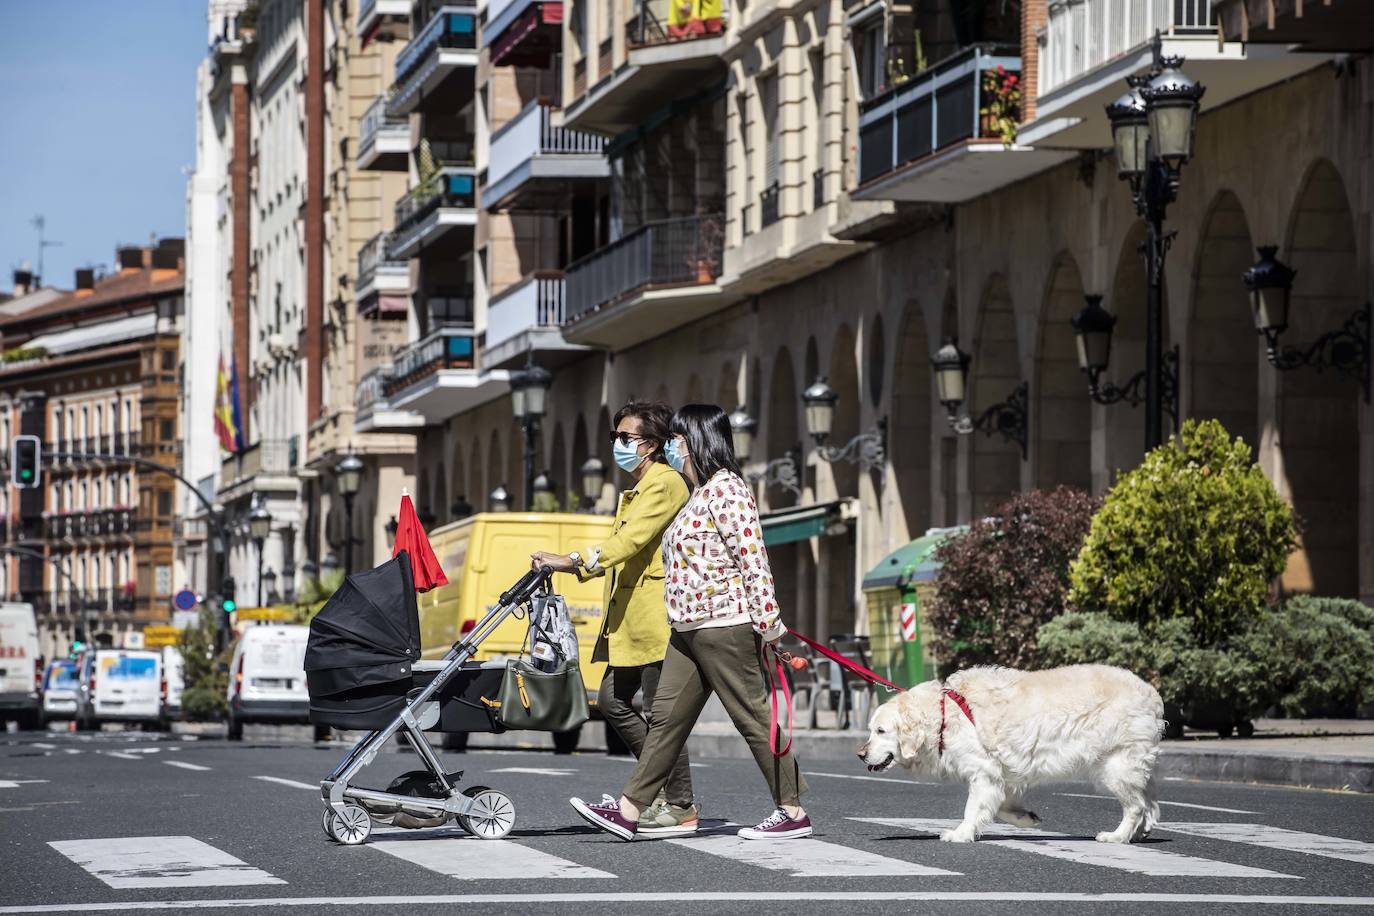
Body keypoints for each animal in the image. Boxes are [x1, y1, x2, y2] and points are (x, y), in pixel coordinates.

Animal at [857, 667, 1159, 845]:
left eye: (881, 730)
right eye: (870, 729)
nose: (860, 754)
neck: (944, 716)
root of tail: (1152, 694)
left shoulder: (983, 771)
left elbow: (972, 808)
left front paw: (961, 834)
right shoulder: (1001, 774)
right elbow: (1001, 805)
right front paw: (1026, 817)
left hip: (1115, 766)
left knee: (1135, 806)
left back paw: (1118, 836)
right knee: (1148, 802)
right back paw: (1141, 831)